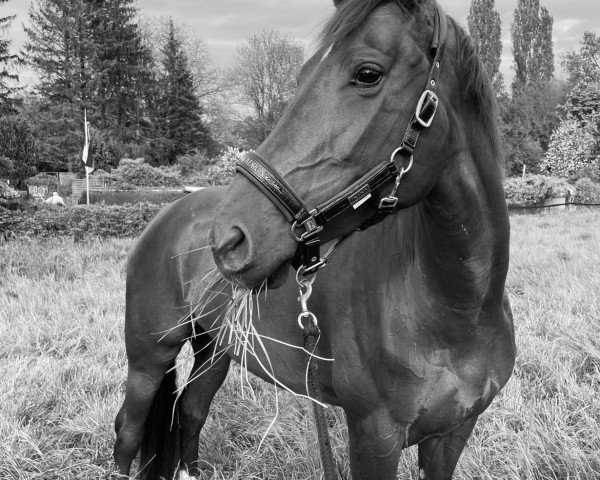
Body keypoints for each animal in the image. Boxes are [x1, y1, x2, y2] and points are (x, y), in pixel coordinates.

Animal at [113, 0, 516, 480]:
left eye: (367, 73)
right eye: (303, 75)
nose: (229, 239)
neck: (458, 309)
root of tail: (166, 215)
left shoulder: (451, 435)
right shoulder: (374, 438)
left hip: (216, 349)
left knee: (191, 412)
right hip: (148, 360)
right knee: (128, 431)